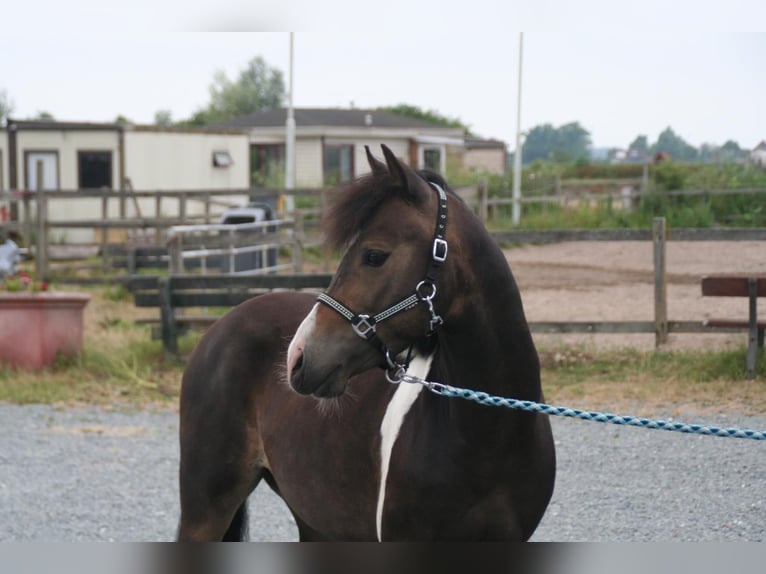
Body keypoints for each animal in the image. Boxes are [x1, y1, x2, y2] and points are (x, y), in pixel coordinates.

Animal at [176, 145, 556, 541]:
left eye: (374, 255)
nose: (297, 357)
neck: (489, 438)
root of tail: (221, 325)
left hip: (315, 520)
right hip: (206, 508)